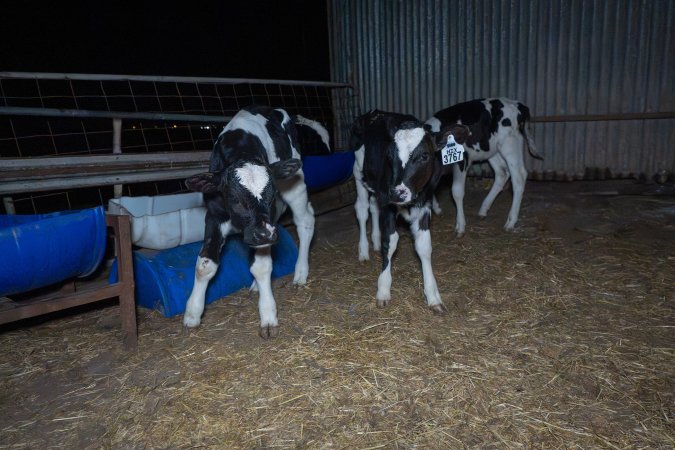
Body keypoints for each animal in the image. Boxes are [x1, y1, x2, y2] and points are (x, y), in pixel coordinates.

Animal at [182, 105, 321, 338]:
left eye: (271, 194)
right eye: (234, 198)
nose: (266, 234)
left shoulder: (266, 228)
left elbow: (262, 266)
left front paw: (268, 316)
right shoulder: (214, 215)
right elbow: (204, 265)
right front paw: (192, 314)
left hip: (295, 184)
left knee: (306, 221)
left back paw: (300, 273)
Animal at [351, 109, 468, 313]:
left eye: (425, 156)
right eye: (389, 155)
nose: (398, 192)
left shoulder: (425, 205)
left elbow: (424, 247)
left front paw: (433, 296)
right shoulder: (387, 203)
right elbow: (390, 242)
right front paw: (383, 290)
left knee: (373, 207)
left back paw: (373, 242)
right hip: (358, 173)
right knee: (363, 210)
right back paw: (364, 251)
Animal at [425, 97, 542, 236]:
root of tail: (517, 104)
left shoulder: (462, 160)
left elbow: (456, 192)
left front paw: (460, 226)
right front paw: (437, 209)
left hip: (510, 145)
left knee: (519, 176)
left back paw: (511, 222)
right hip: (492, 149)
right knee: (502, 173)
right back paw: (483, 209)